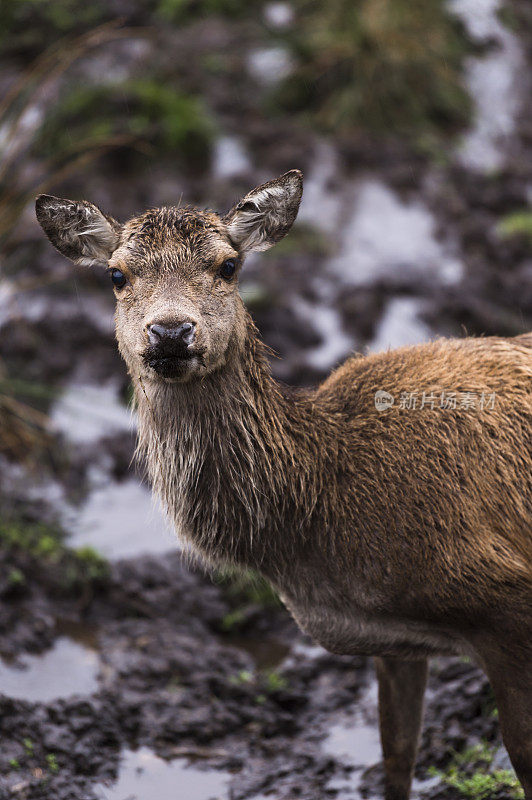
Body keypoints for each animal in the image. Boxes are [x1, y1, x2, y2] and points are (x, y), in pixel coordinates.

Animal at [37, 170, 532, 800]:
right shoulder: (394, 642)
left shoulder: (508, 602)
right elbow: (397, 756)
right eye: (117, 274)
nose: (170, 331)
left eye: (228, 265)